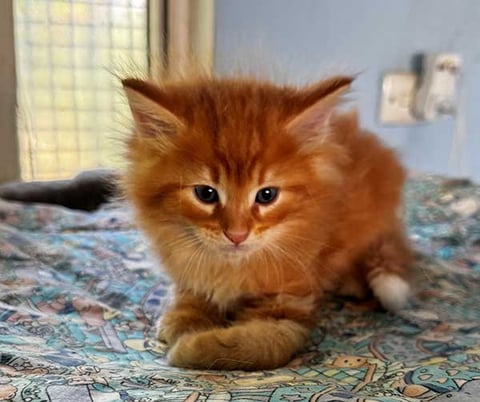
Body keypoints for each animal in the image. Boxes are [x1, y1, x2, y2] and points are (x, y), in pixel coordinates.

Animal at [121, 74, 412, 370]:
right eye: (206, 193)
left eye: (267, 195)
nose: (237, 235)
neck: (232, 267)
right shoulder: (188, 272)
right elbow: (186, 298)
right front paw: (183, 321)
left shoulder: (290, 302)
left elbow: (259, 346)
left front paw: (192, 347)